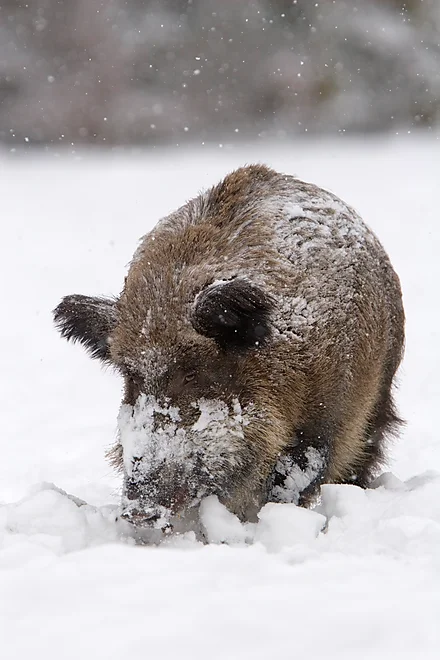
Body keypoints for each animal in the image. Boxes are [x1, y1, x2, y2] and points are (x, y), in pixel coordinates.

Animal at [54, 164, 404, 531]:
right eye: (130, 377)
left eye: (192, 374)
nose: (137, 512)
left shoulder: (323, 423)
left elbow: (291, 482)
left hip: (380, 394)